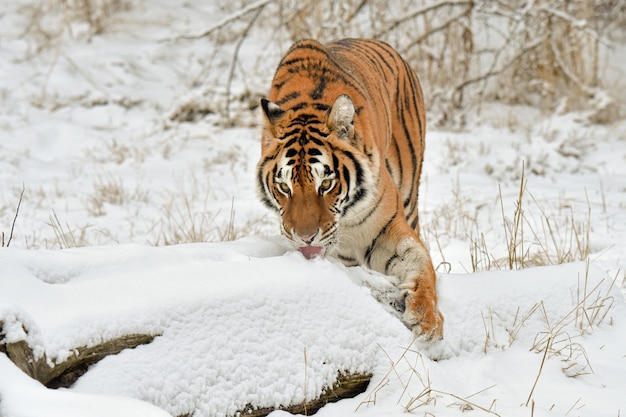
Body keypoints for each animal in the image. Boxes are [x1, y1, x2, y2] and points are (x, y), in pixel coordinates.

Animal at [256, 37, 442, 340]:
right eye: (284, 187)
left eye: (326, 183)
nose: (306, 239)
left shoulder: (387, 229)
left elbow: (421, 261)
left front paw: (427, 319)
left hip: (409, 194)